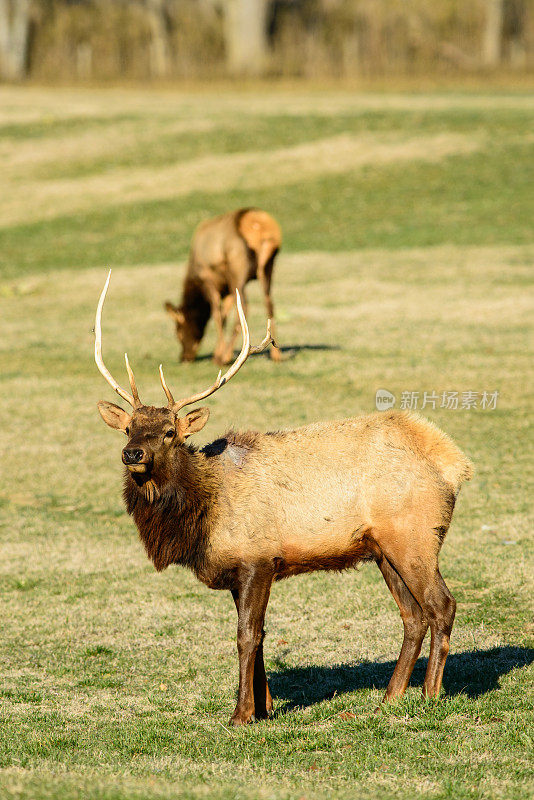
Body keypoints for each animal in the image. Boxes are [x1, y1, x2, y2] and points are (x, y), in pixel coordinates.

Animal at [95, 274, 474, 724]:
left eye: (171, 432)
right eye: (128, 428)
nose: (132, 453)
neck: (203, 514)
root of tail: (455, 463)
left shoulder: (258, 558)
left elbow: (247, 635)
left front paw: (241, 714)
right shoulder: (240, 570)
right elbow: (259, 635)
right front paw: (265, 707)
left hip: (415, 538)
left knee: (442, 605)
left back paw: (430, 695)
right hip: (384, 549)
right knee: (413, 616)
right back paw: (389, 698)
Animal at [164, 208, 282, 368]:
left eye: (178, 332)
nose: (184, 358)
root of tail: (261, 227)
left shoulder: (208, 278)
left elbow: (217, 315)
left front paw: (218, 356)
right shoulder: (227, 288)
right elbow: (224, 315)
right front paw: (216, 353)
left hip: (237, 267)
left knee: (244, 308)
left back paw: (225, 358)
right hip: (267, 267)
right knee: (269, 303)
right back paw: (277, 354)